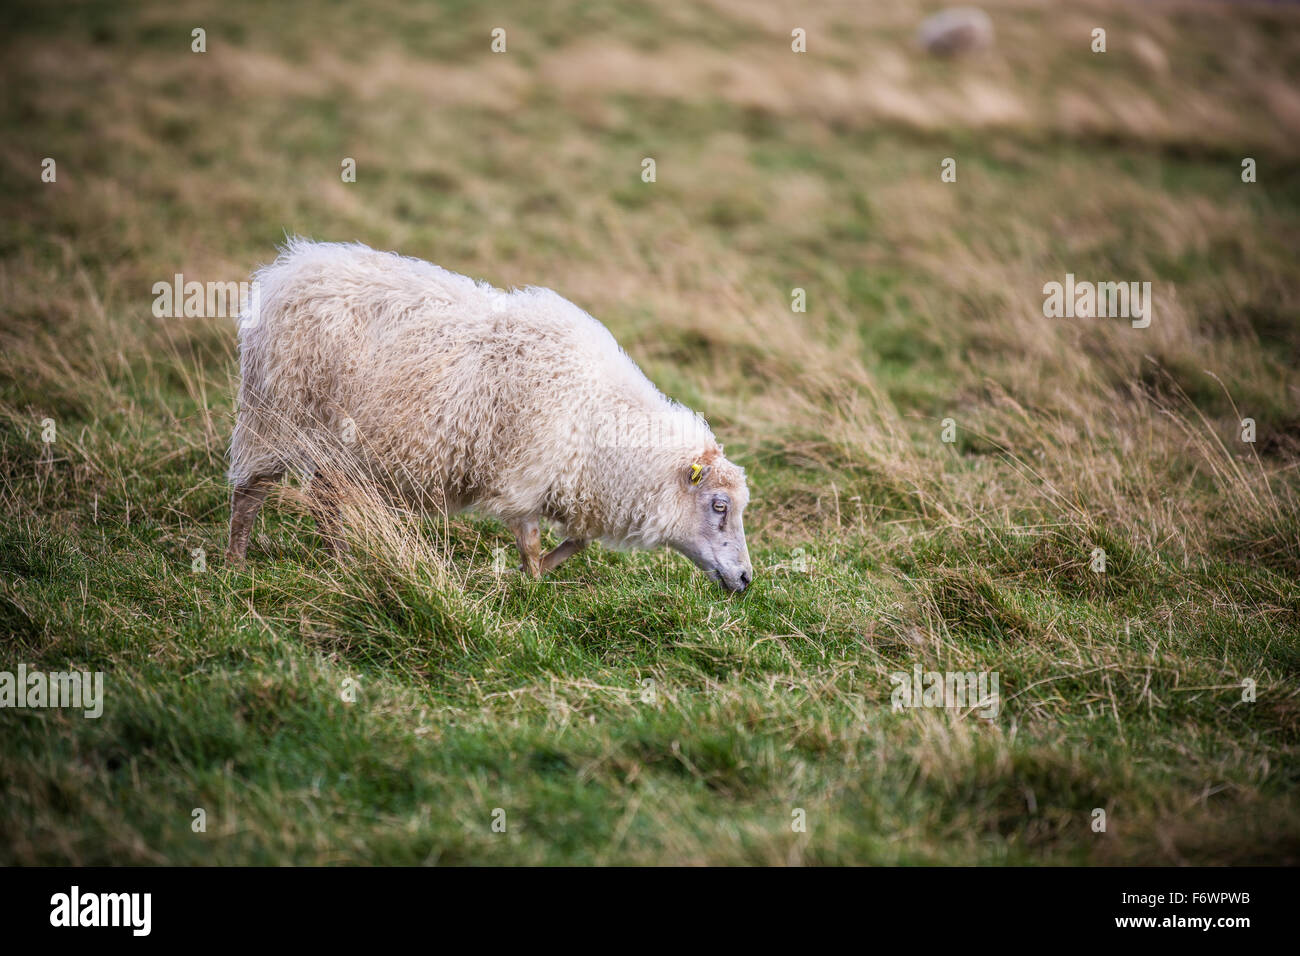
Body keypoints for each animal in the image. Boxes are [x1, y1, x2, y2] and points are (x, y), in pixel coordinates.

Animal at [223, 239, 754, 590]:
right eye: (719, 506)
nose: (747, 578)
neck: (598, 416)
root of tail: (289, 269)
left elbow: (578, 541)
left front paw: (538, 574)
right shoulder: (526, 474)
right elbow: (533, 543)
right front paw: (533, 585)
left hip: (331, 437)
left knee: (326, 502)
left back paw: (344, 562)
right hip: (275, 411)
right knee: (252, 491)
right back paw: (235, 564)